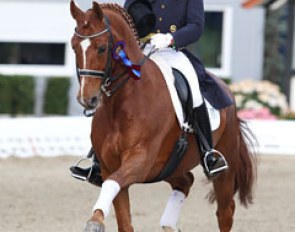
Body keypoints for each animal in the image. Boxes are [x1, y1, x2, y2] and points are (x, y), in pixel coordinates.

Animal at [69, 0, 256, 231]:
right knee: (185, 182)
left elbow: (112, 184)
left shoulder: (140, 161)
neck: (123, 102)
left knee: (225, 212)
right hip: (171, 167)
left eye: (102, 48)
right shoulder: (109, 166)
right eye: (74, 47)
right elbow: (122, 216)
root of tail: (228, 90)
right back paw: (169, 224)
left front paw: (94, 222)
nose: (88, 99)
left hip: (224, 169)